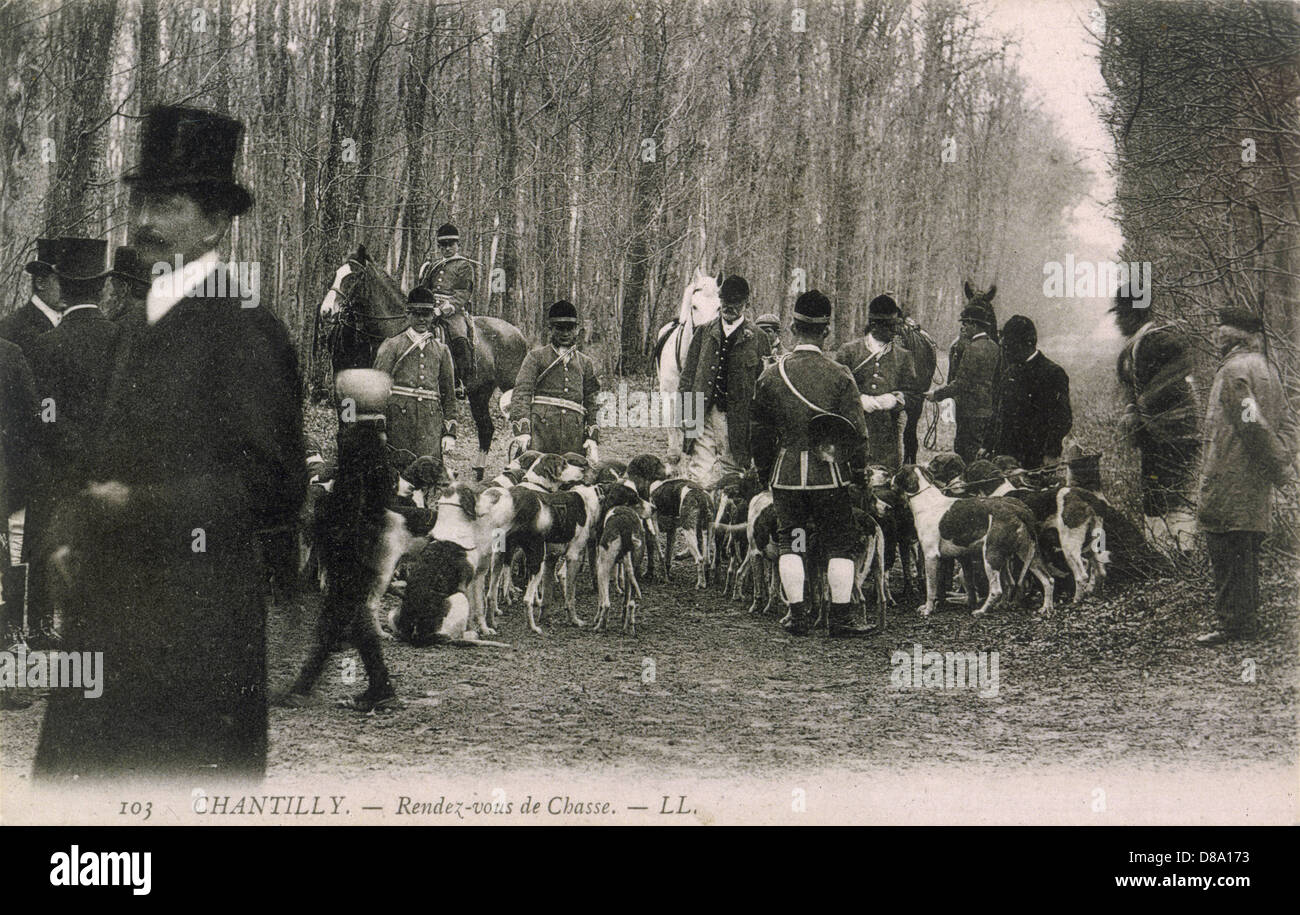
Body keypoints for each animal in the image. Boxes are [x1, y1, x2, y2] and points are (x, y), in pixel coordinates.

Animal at [319, 246, 527, 483]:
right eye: (336, 274)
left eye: (353, 277)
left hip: (508, 387)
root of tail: (518, 333)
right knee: (486, 428)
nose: (326, 311)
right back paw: (479, 471)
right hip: (479, 392)